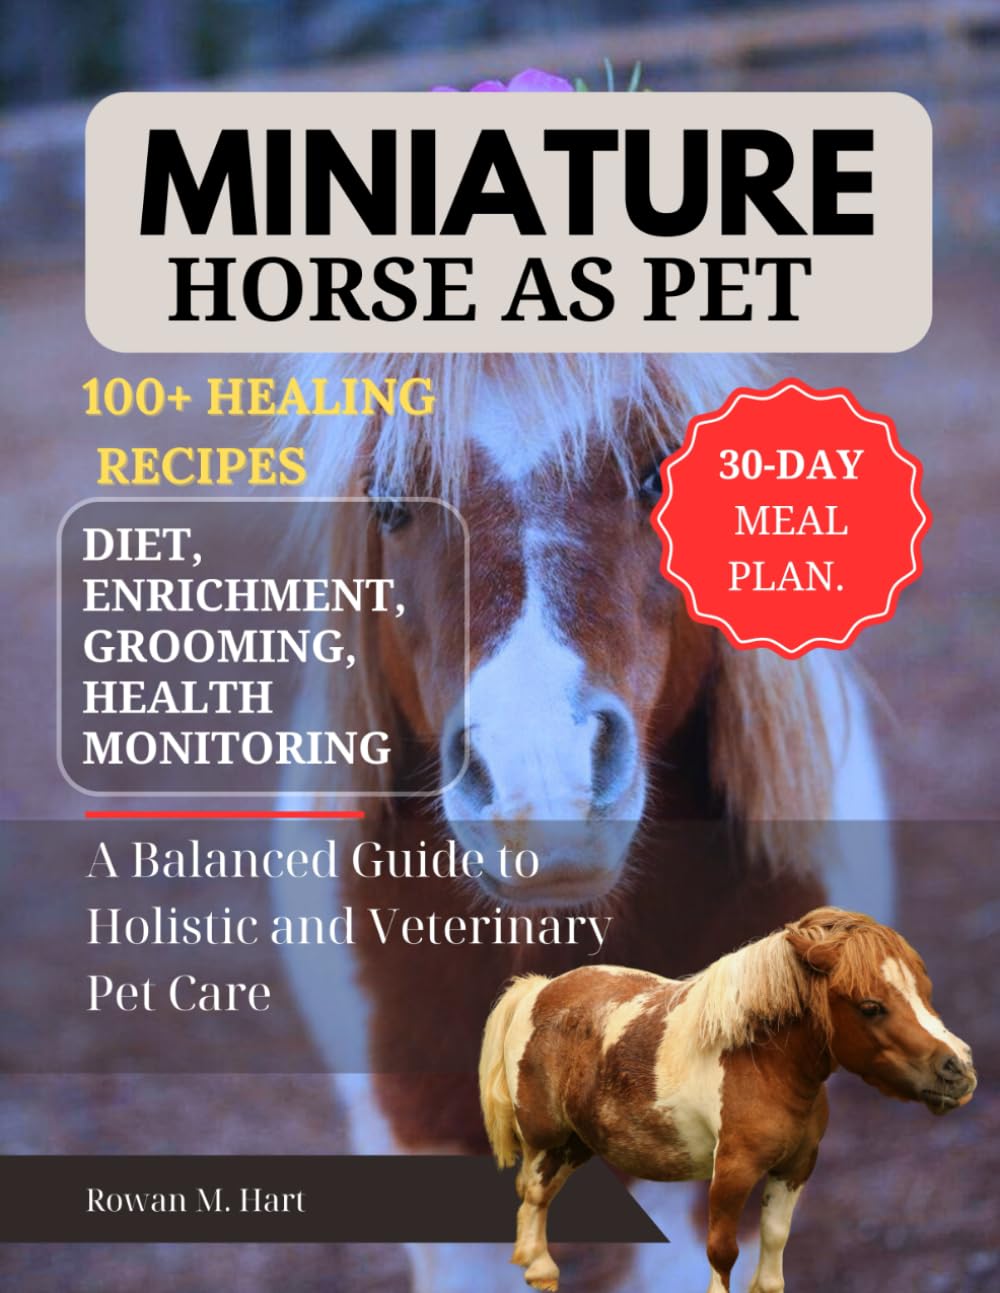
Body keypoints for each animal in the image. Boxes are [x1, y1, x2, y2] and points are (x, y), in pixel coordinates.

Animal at [479, 907, 976, 1293]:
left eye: (925, 993)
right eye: (870, 1006)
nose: (959, 1070)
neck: (761, 1064)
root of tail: (540, 989)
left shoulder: (795, 1167)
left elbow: (774, 1240)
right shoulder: (732, 1173)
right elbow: (722, 1252)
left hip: (578, 1143)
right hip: (544, 1138)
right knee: (534, 1191)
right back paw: (539, 1270)